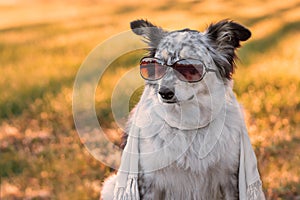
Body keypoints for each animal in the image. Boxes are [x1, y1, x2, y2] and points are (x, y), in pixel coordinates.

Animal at [101, 19, 264, 200]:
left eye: (190, 67)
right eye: (156, 66)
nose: (164, 93)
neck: (189, 125)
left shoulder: (230, 178)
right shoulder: (149, 182)